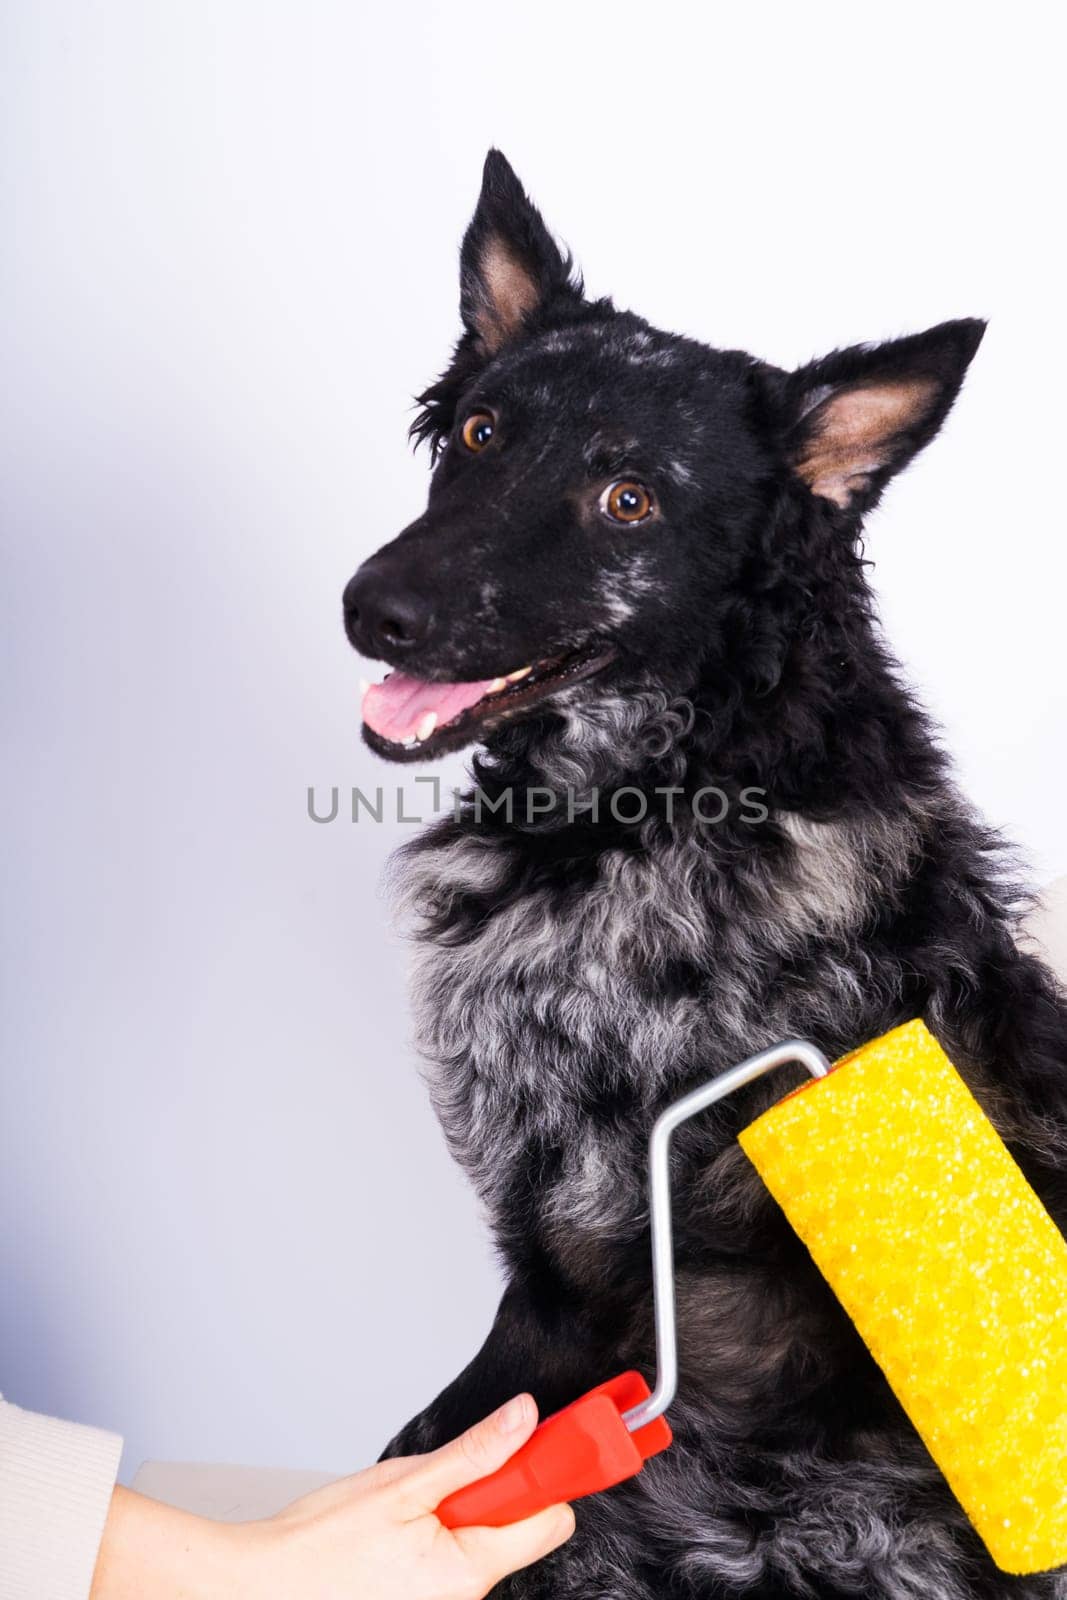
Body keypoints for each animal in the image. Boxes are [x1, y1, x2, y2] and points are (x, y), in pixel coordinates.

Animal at [342, 152, 1067, 1600]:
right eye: (478, 435)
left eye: (630, 500)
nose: (369, 608)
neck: (659, 803)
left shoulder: (574, 1260)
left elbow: (456, 1431)